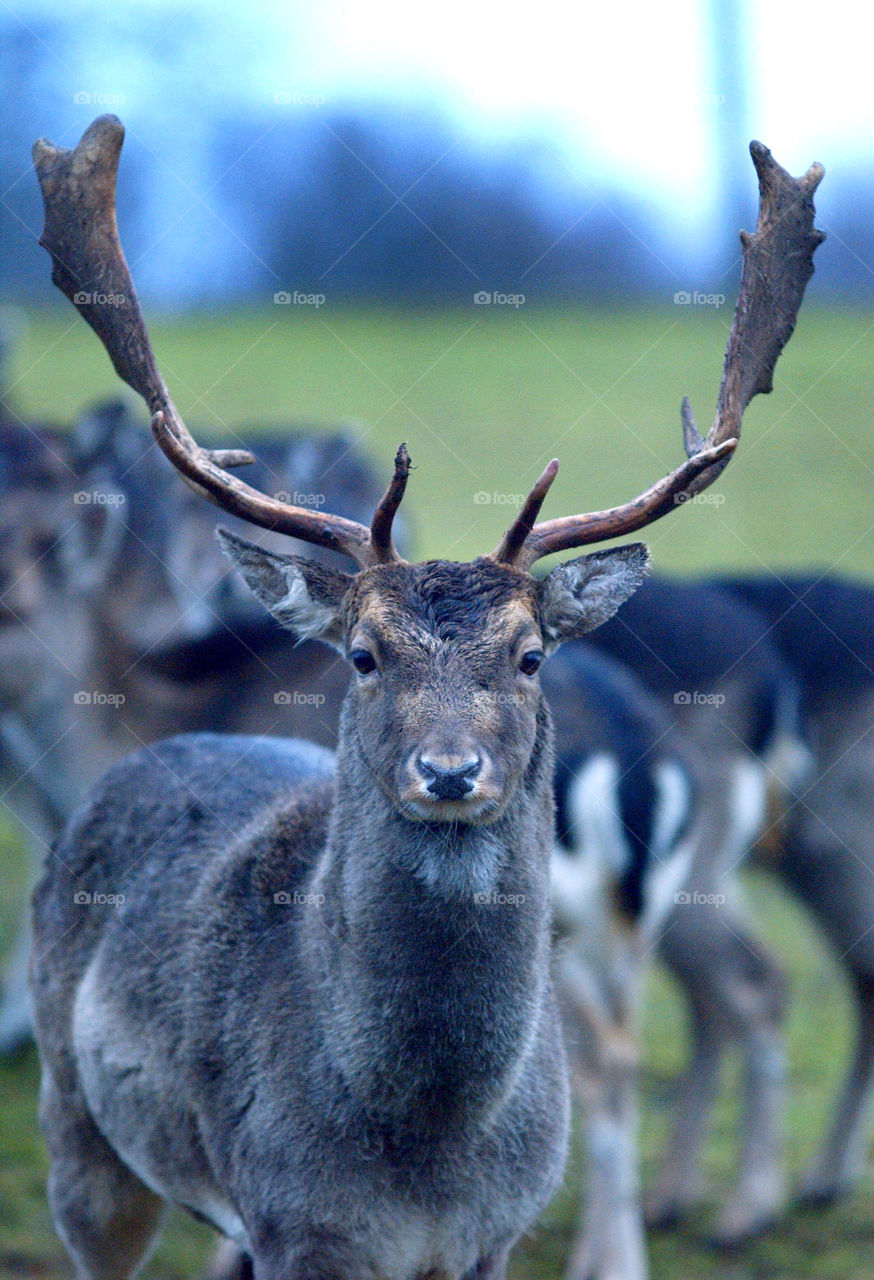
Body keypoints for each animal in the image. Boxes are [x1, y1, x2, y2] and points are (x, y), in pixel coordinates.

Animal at [29, 115, 821, 1280]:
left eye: (530, 654)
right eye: (363, 654)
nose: (450, 770)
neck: (426, 1148)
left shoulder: (492, 1233)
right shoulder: (296, 1222)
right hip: (77, 1127)